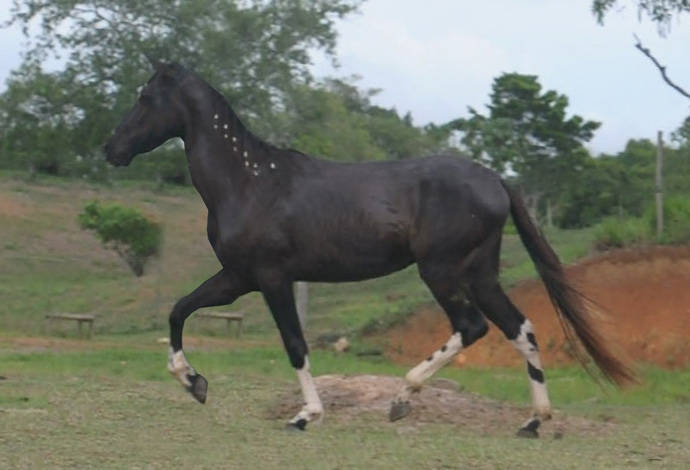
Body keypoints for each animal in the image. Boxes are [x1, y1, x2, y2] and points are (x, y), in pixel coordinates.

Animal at [103, 63, 628, 436]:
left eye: (145, 99)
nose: (111, 149)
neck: (249, 182)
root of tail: (495, 179)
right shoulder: (237, 279)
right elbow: (178, 310)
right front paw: (195, 384)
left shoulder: (272, 279)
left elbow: (295, 345)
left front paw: (305, 416)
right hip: (479, 273)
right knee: (519, 327)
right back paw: (533, 422)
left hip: (440, 270)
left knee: (472, 326)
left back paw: (403, 399)